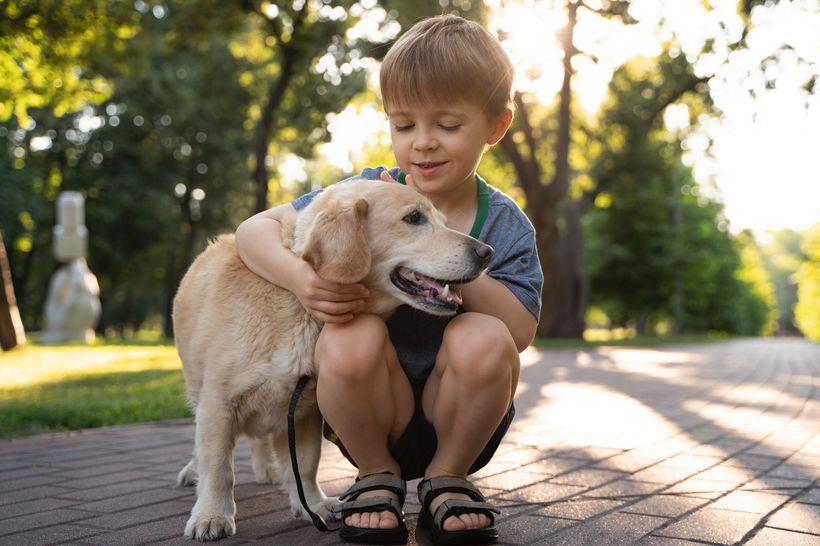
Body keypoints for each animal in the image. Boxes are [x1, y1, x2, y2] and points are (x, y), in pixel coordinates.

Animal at [174, 180, 494, 540]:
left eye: (443, 220)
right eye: (414, 218)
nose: (487, 253)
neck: (301, 307)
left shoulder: (303, 411)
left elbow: (305, 464)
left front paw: (311, 505)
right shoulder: (218, 405)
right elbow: (218, 468)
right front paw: (211, 515)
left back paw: (267, 468)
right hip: (198, 393)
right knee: (204, 450)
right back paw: (194, 472)